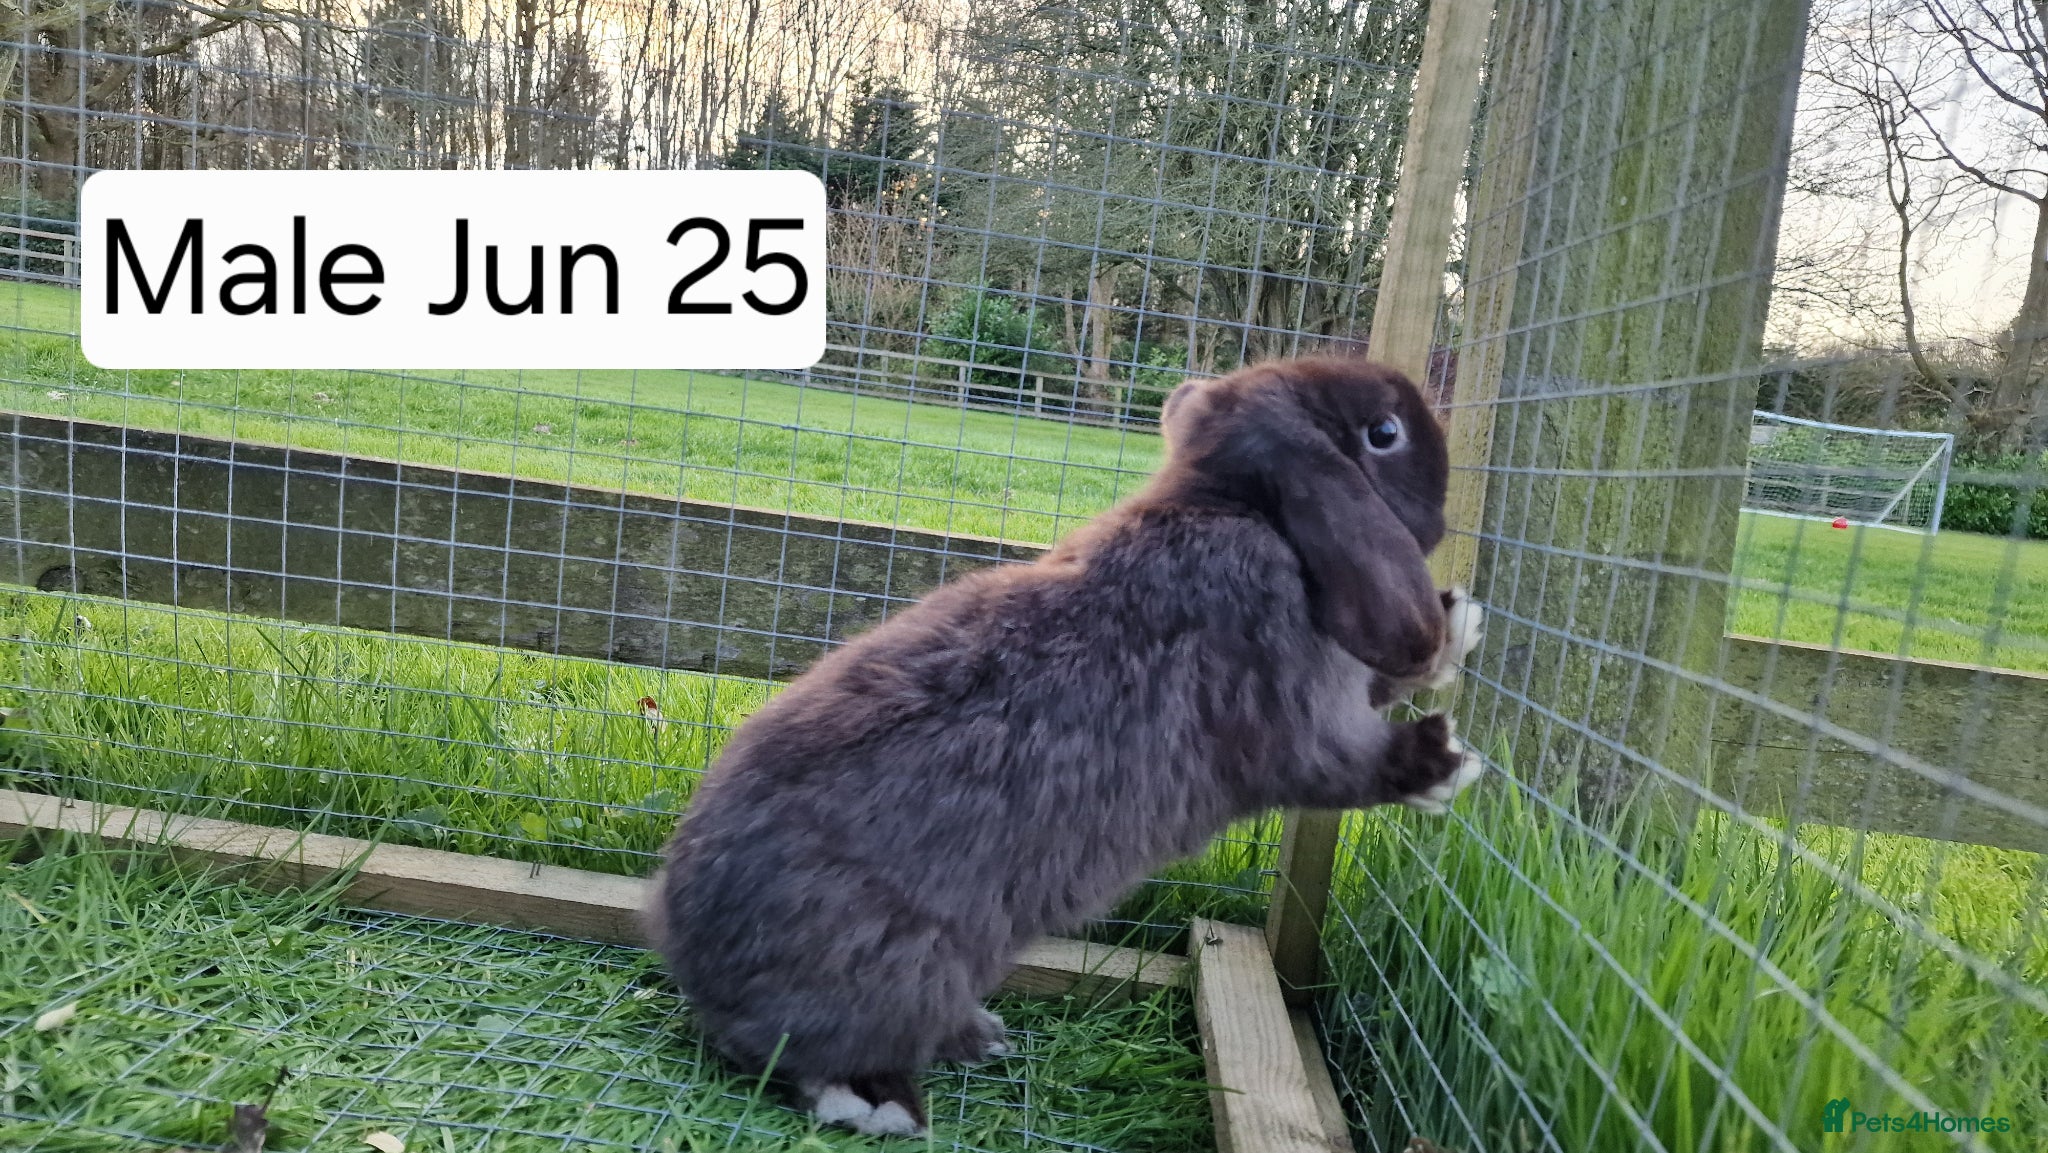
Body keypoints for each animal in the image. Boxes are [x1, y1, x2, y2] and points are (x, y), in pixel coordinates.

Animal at [645, 356, 1486, 1137]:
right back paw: (882, 1102)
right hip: (890, 971)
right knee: (810, 1057)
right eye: (1385, 432)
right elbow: (1342, 763)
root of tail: (694, 964)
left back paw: (979, 1038)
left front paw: (1462, 623)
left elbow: (1383, 682)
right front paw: (1447, 764)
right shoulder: (1296, 710)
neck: (1239, 506)